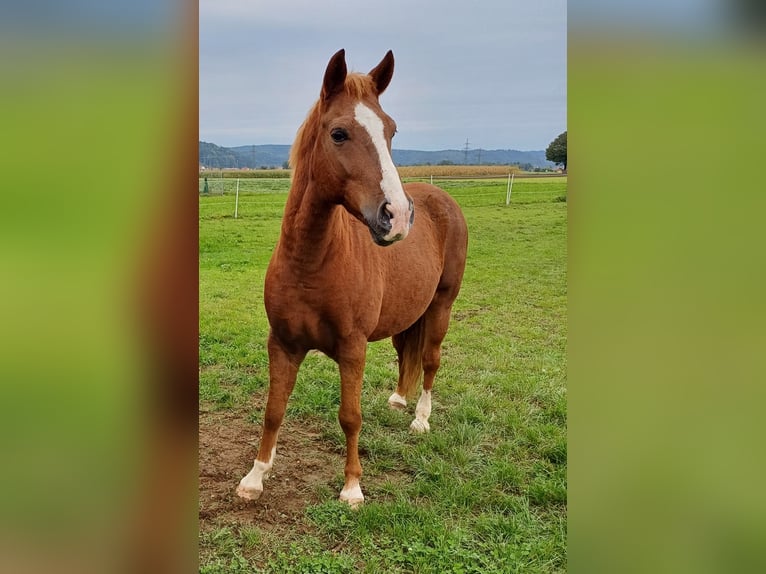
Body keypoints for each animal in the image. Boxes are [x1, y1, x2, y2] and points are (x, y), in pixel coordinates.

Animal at [237, 49, 468, 508]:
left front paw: (352, 487)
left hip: (442, 306)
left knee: (431, 360)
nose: (397, 216)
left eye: (392, 131)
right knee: (406, 352)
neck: (311, 263)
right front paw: (255, 477)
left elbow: (350, 416)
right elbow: (273, 410)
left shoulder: (352, 348)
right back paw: (398, 400)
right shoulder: (283, 344)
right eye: (339, 133)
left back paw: (421, 420)